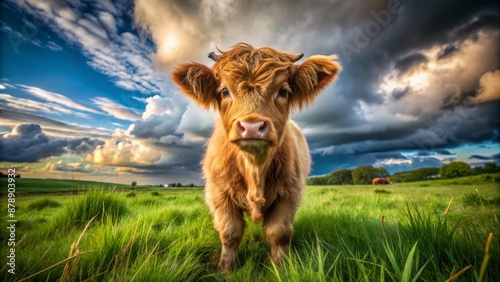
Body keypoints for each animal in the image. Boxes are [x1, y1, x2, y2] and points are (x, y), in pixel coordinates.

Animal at [171, 43, 340, 270]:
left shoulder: (289, 194)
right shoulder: (219, 194)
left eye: (283, 91)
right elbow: (230, 232)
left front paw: (281, 267)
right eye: (224, 91)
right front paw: (225, 269)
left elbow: (279, 232)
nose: (251, 126)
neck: (254, 170)